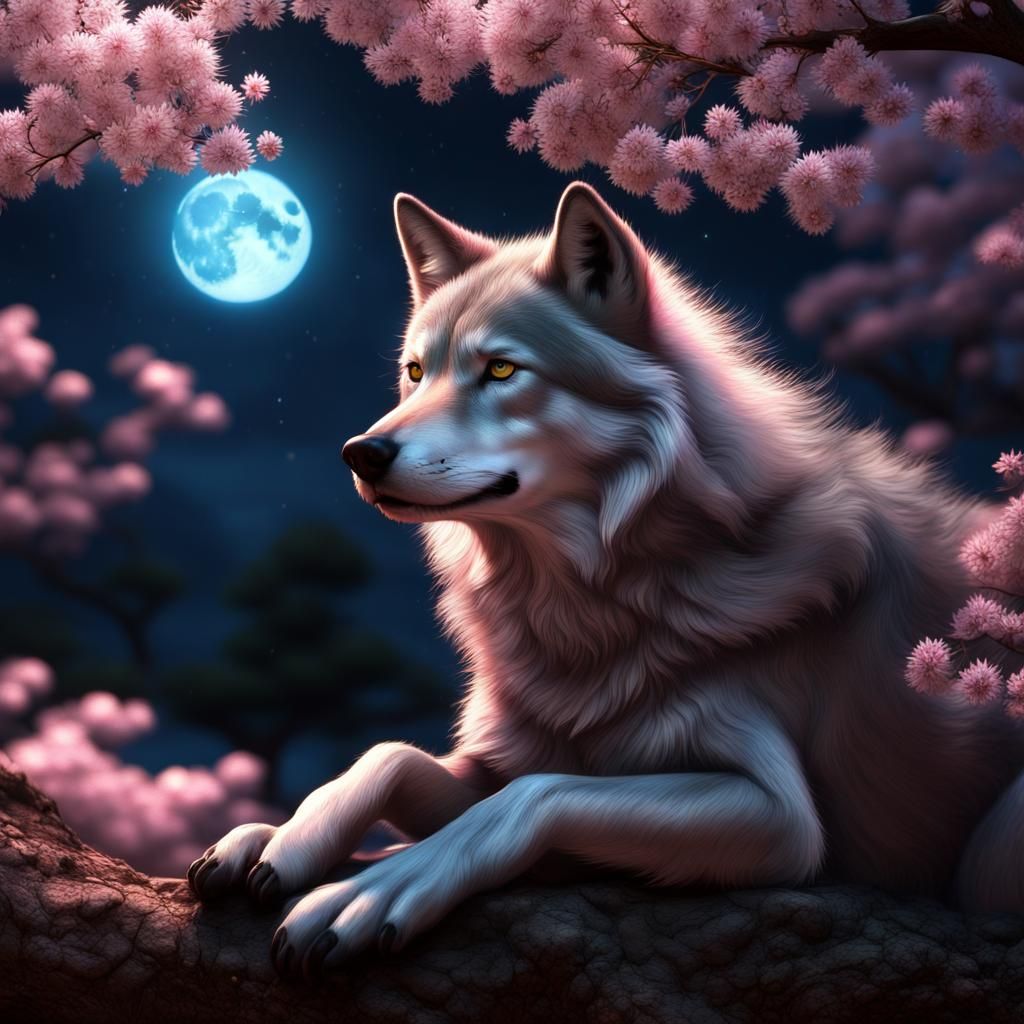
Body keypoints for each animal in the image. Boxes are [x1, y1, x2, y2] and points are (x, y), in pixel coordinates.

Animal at [189, 182, 1024, 980]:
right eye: (415, 373)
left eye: (500, 369)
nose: (361, 452)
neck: (587, 603)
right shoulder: (509, 755)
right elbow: (391, 754)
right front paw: (281, 835)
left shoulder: (780, 819)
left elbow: (533, 795)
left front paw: (375, 887)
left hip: (987, 857)